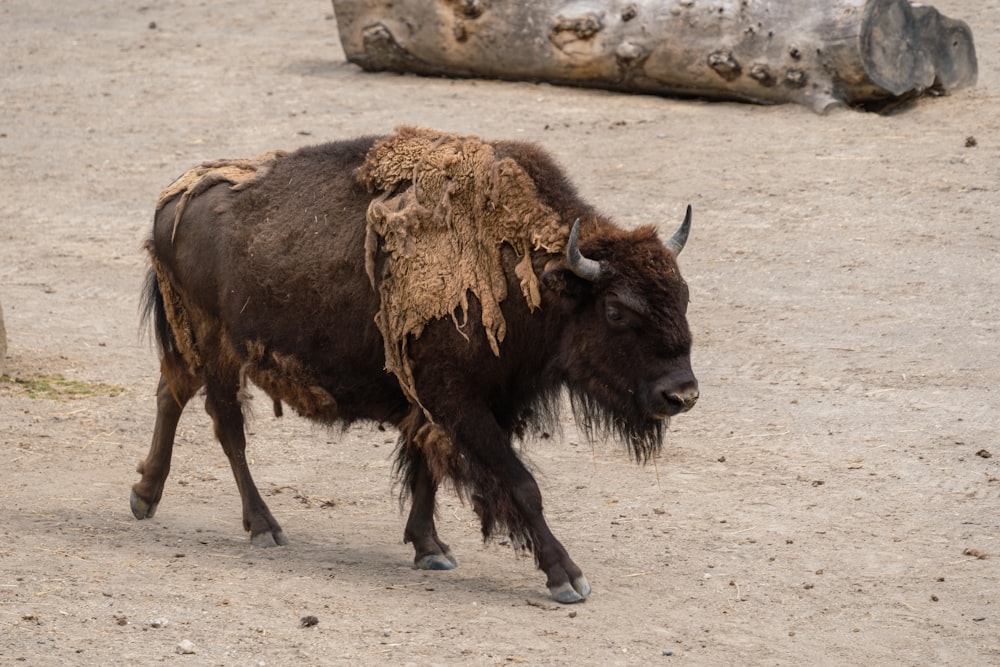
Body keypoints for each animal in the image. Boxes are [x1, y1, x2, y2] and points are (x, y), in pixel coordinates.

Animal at [131, 126, 696, 604]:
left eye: (684, 296)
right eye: (616, 310)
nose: (682, 394)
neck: (529, 271)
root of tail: (171, 200)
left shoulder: (460, 401)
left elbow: (430, 467)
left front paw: (431, 549)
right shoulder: (459, 401)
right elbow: (521, 484)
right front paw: (567, 577)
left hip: (193, 344)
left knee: (171, 392)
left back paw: (144, 496)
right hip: (217, 348)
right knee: (228, 427)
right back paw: (265, 527)